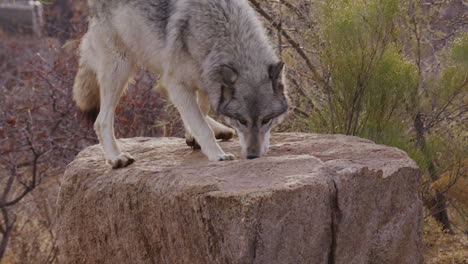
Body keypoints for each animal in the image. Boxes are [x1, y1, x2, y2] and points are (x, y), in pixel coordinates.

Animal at [72, 0, 288, 169]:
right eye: (242, 121)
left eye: (266, 120)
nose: (253, 156)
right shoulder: (178, 83)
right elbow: (201, 124)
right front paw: (217, 154)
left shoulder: (206, 82)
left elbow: (200, 112)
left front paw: (194, 136)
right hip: (121, 68)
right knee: (101, 120)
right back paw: (116, 158)